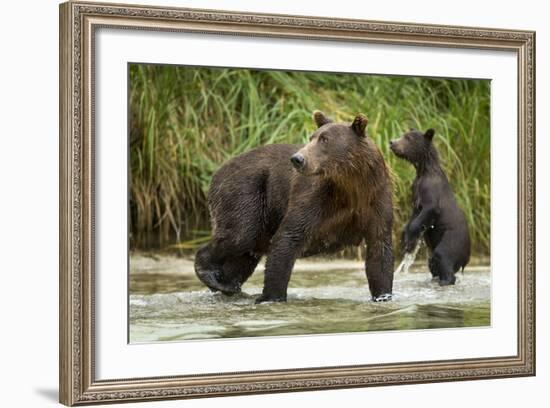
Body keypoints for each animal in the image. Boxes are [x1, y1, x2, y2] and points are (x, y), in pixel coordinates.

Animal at [196, 111, 394, 302]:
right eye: (312, 137)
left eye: (325, 139)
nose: (298, 159)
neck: (351, 185)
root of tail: (218, 171)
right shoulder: (315, 197)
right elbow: (289, 236)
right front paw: (272, 296)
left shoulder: (375, 200)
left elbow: (380, 251)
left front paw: (383, 295)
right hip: (246, 192)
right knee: (241, 234)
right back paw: (210, 273)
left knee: (245, 256)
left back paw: (227, 284)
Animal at [390, 127, 472, 284]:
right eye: (402, 135)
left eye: (408, 138)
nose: (392, 142)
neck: (423, 170)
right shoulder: (415, 191)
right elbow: (414, 215)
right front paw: (405, 238)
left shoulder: (430, 189)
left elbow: (430, 209)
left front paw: (410, 240)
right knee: (432, 263)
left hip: (452, 239)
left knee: (443, 256)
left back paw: (445, 280)